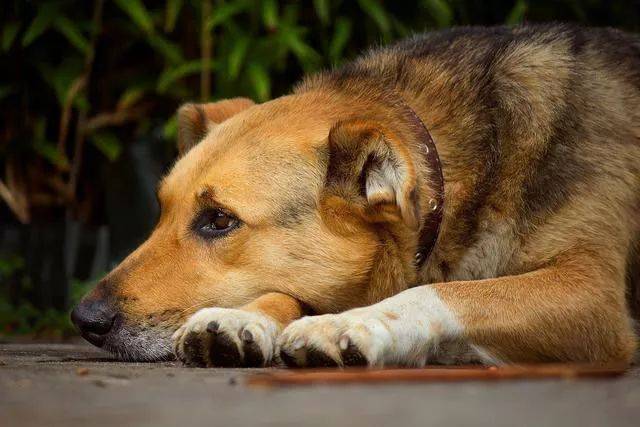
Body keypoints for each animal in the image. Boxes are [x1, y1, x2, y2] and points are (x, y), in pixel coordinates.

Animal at [71, 24, 640, 368]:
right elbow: (288, 292)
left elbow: (445, 293)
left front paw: (352, 324)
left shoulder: (594, 296)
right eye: (161, 211)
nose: (84, 321)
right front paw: (241, 319)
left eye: (219, 220)